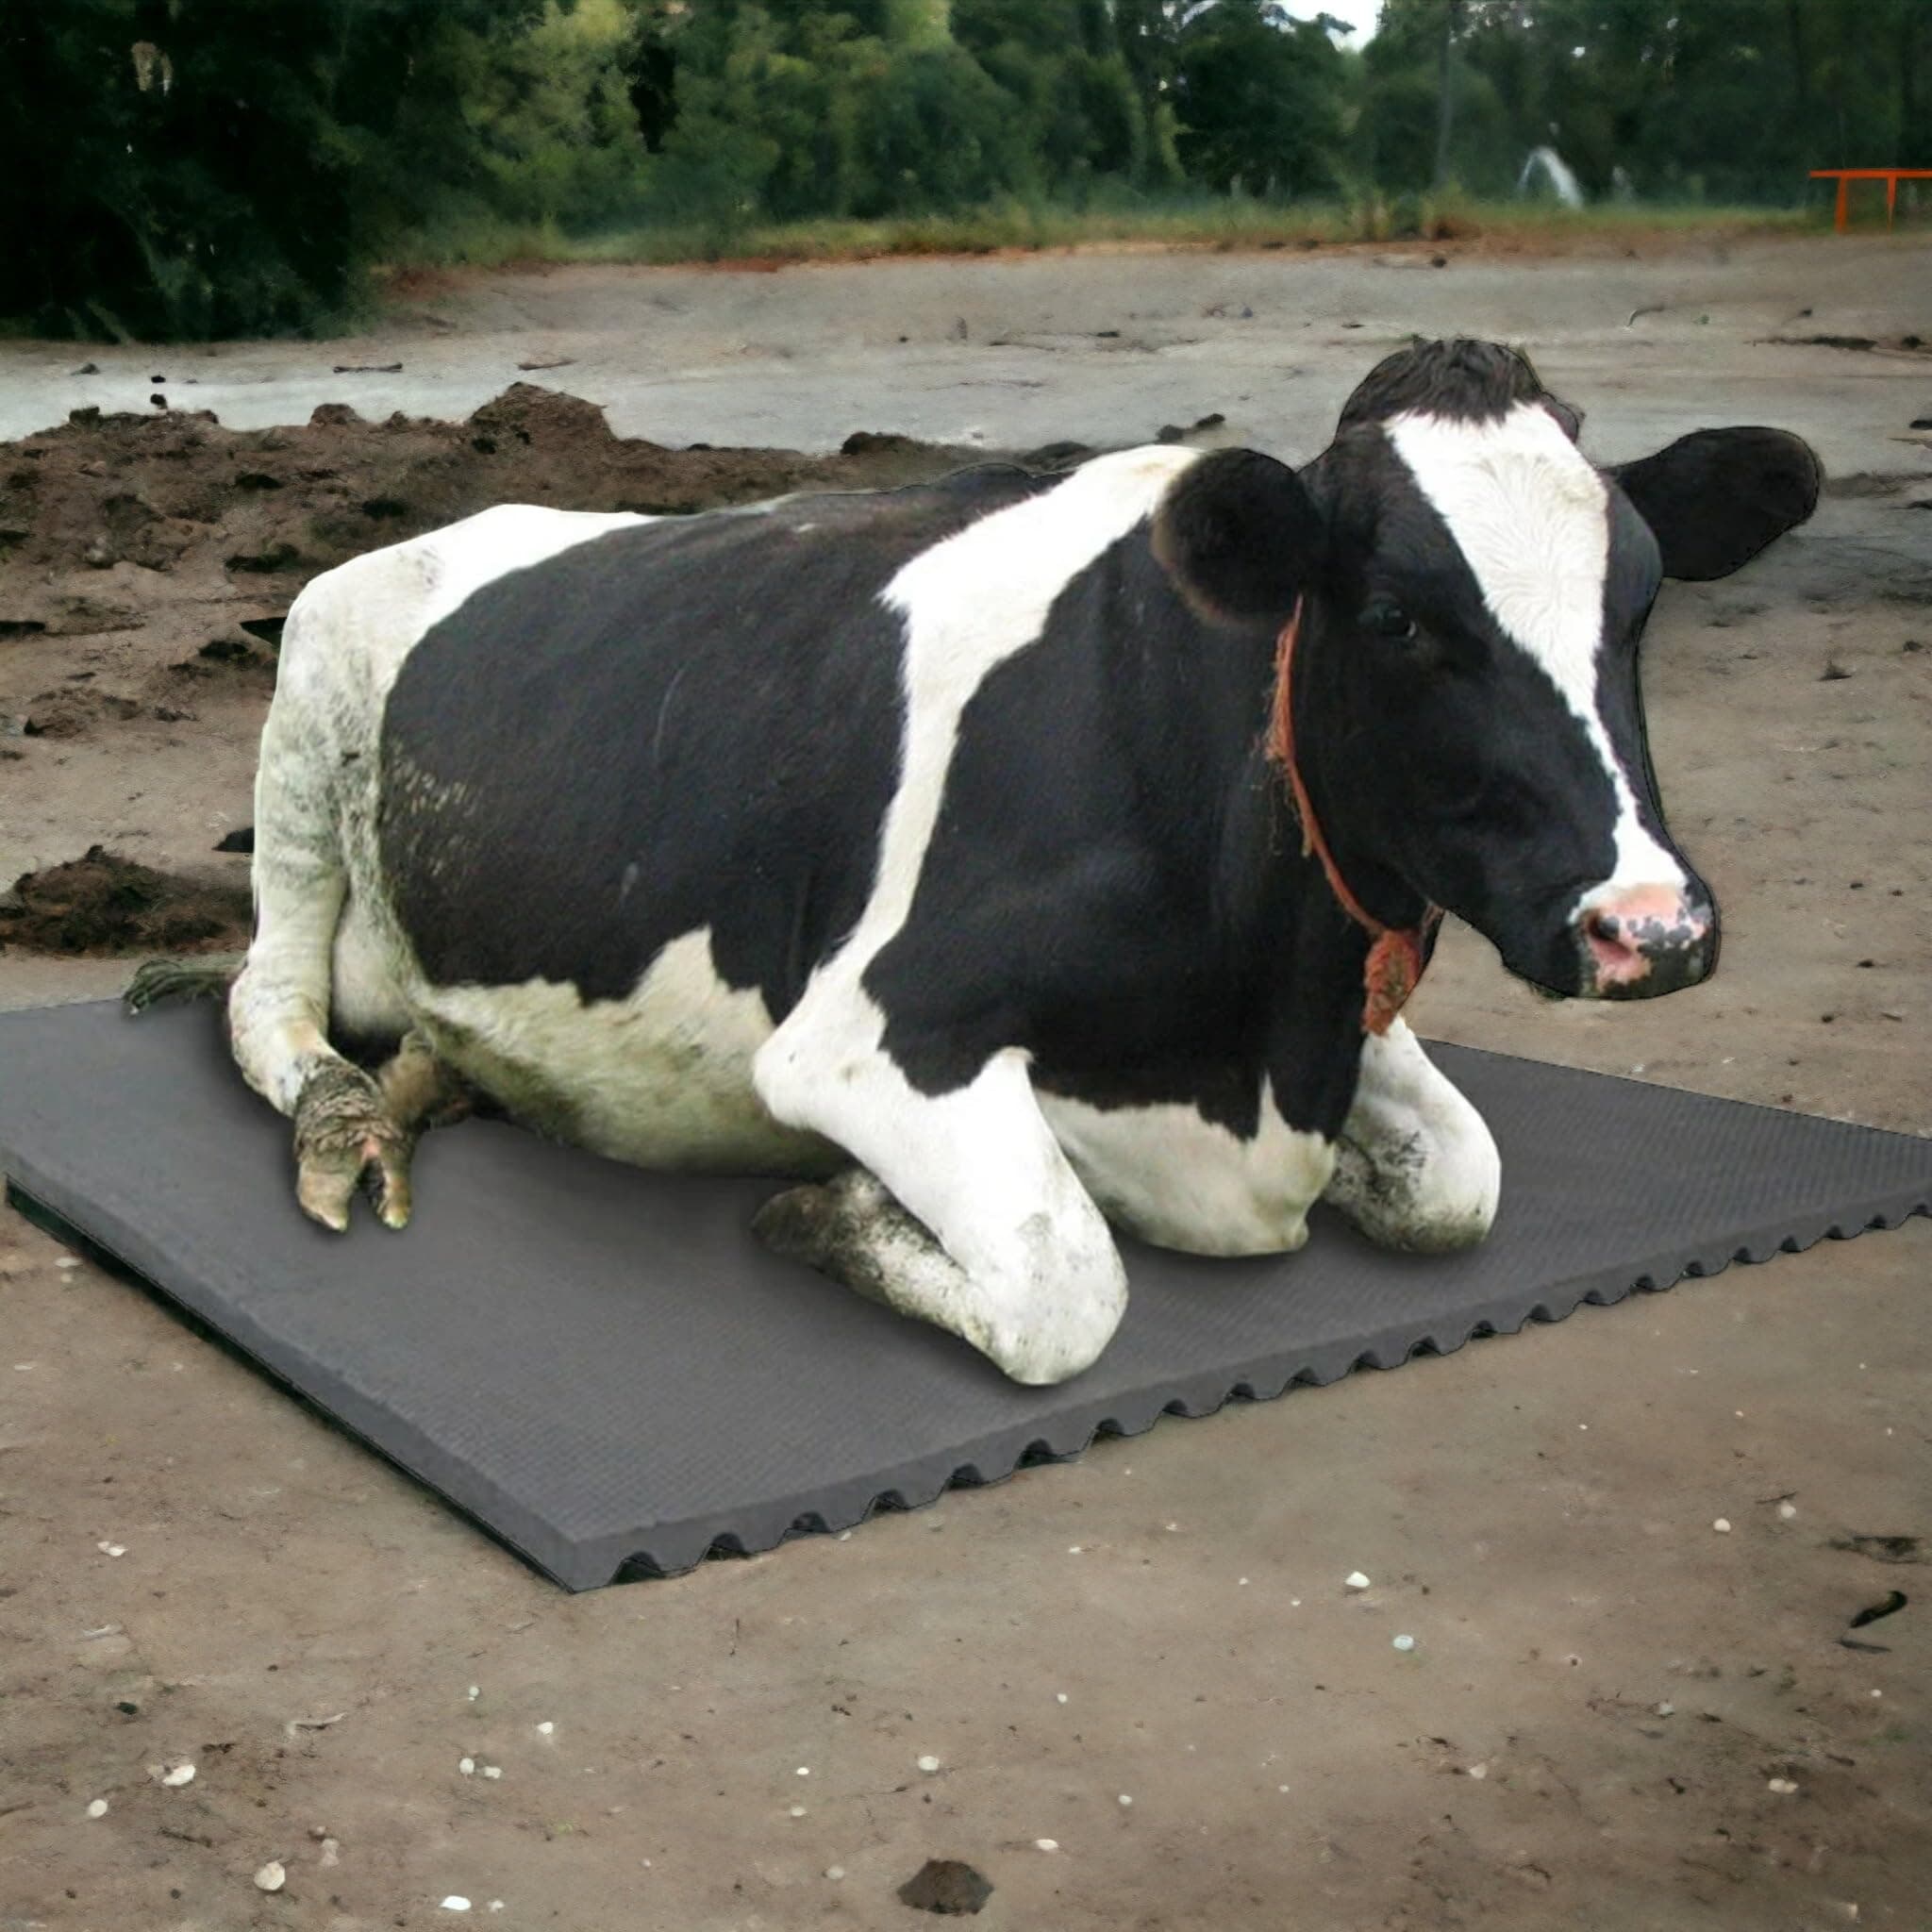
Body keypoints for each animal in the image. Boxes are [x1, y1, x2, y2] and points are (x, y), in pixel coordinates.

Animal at [130, 340, 1821, 1385]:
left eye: (1640, 604)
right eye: (1401, 617)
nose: (1649, 927)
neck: (1258, 1040)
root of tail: (457, 521)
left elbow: (1461, 1181)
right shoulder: (864, 1036)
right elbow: (1067, 1283)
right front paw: (829, 1215)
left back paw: (443, 1076)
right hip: (304, 725)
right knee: (267, 1000)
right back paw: (351, 1114)